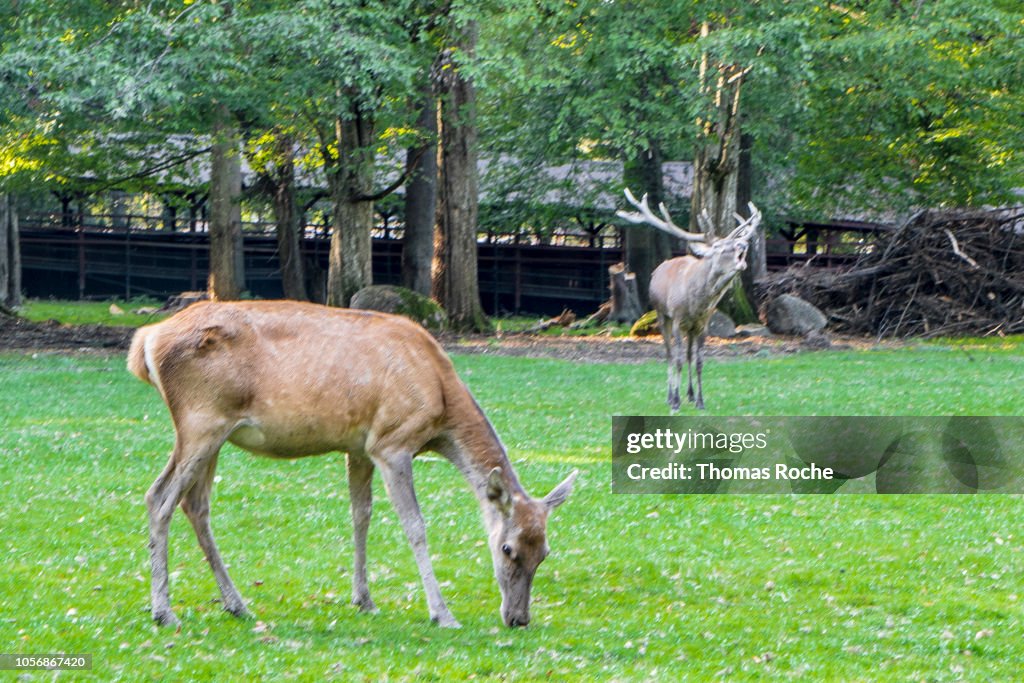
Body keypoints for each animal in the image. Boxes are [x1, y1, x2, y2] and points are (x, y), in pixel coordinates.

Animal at [128, 301, 577, 630]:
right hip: (201, 420)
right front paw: (442, 613)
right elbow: (415, 526)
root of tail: (146, 341)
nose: (518, 619)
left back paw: (236, 604)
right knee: (160, 498)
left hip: (213, 432)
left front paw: (364, 599)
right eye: (507, 548)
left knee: (194, 505)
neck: (441, 405)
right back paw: (164, 611)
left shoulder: (360, 446)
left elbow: (361, 514)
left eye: (545, 552)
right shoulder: (393, 441)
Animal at [614, 188, 761, 411]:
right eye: (719, 246)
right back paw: (670, 396)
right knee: (669, 353)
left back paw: (690, 395)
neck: (697, 304)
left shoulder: (703, 324)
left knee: (690, 355)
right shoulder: (677, 319)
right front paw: (675, 402)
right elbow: (678, 359)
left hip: (690, 328)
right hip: (661, 314)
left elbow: (699, 361)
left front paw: (700, 401)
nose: (743, 244)